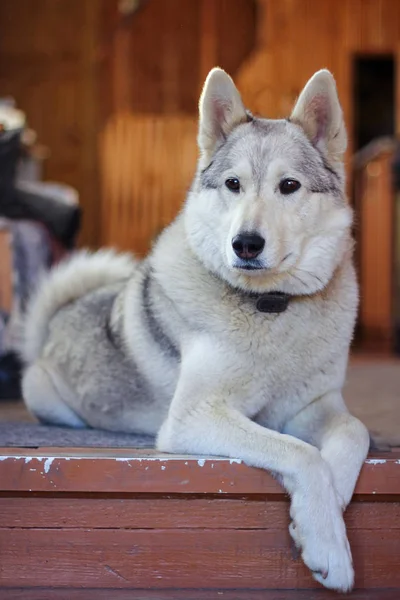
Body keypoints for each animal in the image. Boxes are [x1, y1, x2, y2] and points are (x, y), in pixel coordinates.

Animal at [21, 68, 368, 592]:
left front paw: (332, 505)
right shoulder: (195, 416)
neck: (269, 308)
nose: (246, 244)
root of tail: (59, 316)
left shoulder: (312, 405)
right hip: (45, 395)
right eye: (233, 184)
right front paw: (327, 541)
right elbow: (302, 454)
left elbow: (353, 432)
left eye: (289, 185)